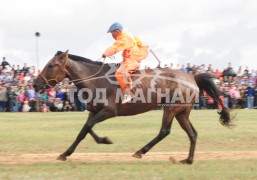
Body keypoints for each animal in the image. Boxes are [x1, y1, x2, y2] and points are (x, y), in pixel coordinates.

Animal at [32, 50, 232, 164]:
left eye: (51, 65)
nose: (35, 84)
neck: (96, 80)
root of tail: (192, 77)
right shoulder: (94, 111)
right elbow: (85, 130)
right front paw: (99, 141)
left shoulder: (108, 111)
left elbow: (87, 128)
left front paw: (67, 153)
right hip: (182, 112)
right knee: (192, 133)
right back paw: (188, 160)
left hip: (171, 108)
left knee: (164, 131)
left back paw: (140, 151)